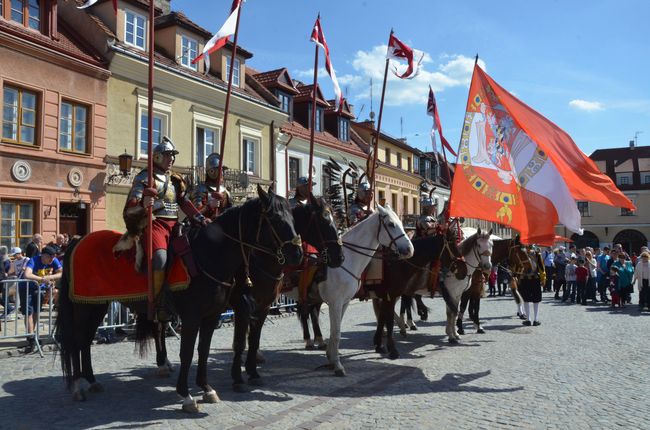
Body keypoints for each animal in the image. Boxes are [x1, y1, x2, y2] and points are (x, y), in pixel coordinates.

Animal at [54, 186, 300, 412]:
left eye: (293, 216)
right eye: (275, 218)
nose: (297, 254)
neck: (210, 254)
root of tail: (77, 241)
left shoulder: (218, 314)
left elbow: (207, 349)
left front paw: (207, 387)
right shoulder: (202, 315)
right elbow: (192, 351)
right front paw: (188, 394)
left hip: (97, 305)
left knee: (88, 340)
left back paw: (94, 380)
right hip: (83, 307)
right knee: (77, 340)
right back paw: (77, 386)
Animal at [316, 206, 412, 376]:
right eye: (391, 224)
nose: (409, 249)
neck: (346, 259)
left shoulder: (344, 302)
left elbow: (336, 331)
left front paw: (332, 358)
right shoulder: (336, 302)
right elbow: (337, 333)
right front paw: (338, 365)